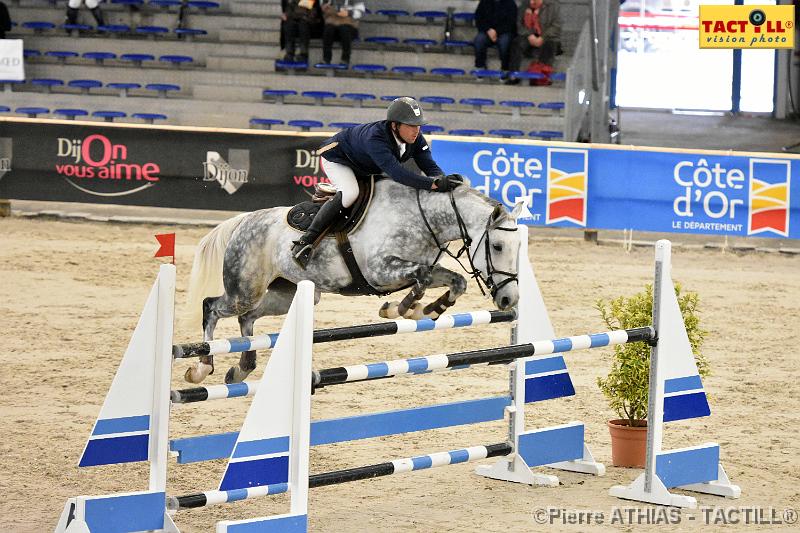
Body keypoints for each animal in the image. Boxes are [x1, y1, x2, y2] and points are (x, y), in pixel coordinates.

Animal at [184, 179, 528, 382]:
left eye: (518, 247)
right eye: (498, 246)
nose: (509, 299)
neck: (422, 218)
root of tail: (244, 220)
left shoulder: (413, 269)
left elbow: (455, 282)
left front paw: (425, 311)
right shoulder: (381, 271)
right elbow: (422, 276)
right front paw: (399, 309)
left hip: (286, 294)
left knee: (248, 317)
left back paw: (242, 368)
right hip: (245, 289)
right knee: (212, 307)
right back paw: (202, 367)